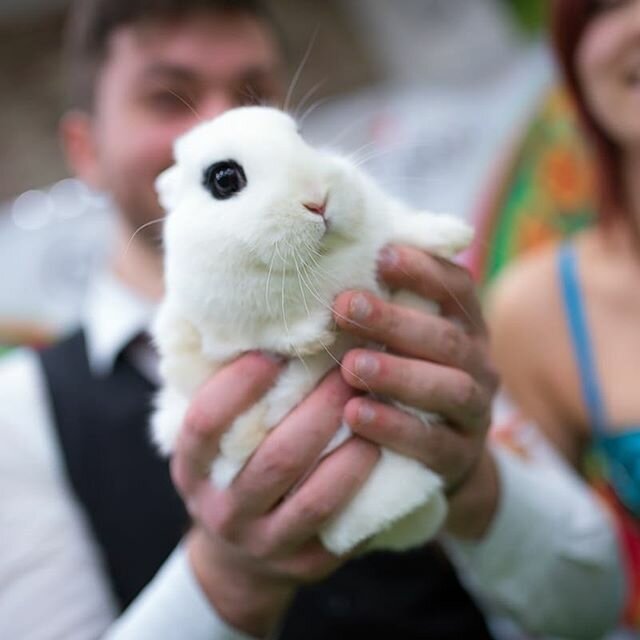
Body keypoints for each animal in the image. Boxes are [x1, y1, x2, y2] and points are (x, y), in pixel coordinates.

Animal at [150, 106, 473, 556]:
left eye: (302, 137)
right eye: (224, 179)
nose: (319, 201)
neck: (319, 262)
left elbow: (402, 227)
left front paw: (452, 235)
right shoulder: (214, 329)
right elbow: (260, 335)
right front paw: (315, 335)